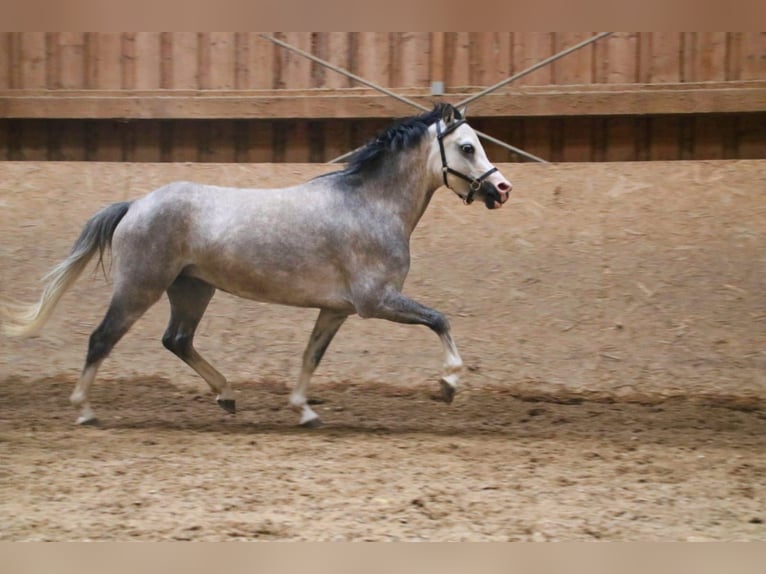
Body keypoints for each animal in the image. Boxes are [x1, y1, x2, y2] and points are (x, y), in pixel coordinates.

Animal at [3, 102, 516, 428]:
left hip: (192, 289)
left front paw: (305, 412)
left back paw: (227, 396)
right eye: (467, 148)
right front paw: (448, 384)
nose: (502, 189)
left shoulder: (337, 309)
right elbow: (439, 319)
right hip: (140, 287)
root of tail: (135, 204)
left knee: (177, 340)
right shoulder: (376, 301)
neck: (370, 204)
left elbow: (311, 356)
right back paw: (85, 411)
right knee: (102, 338)